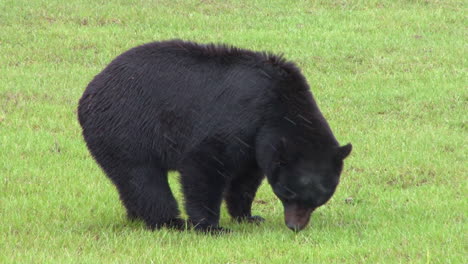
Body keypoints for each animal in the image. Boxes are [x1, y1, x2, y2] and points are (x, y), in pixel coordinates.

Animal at [78, 39, 352, 233]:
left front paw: (249, 216)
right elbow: (204, 167)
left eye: (319, 199)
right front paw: (212, 227)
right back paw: (171, 222)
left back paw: (136, 216)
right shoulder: (234, 122)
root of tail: (87, 94)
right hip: (126, 131)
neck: (276, 104)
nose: (295, 227)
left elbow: (245, 179)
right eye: (288, 193)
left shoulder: (254, 143)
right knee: (145, 180)